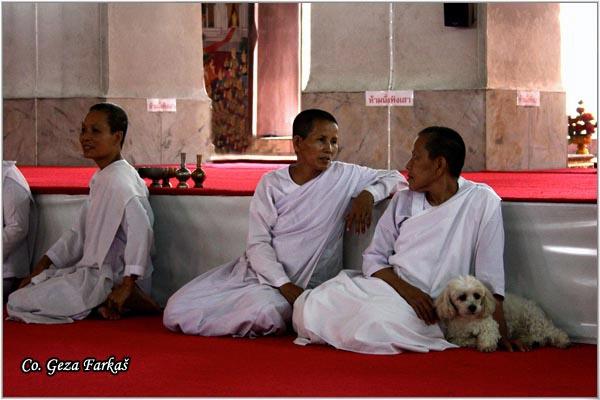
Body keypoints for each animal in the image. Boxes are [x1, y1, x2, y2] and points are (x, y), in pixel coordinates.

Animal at [434, 276, 568, 352]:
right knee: (536, 336)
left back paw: (563, 340)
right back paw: (531, 341)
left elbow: (488, 334)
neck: (468, 319)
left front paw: (487, 346)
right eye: (462, 297)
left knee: (551, 331)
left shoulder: (489, 324)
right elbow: (463, 340)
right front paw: (474, 342)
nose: (473, 307)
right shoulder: (455, 336)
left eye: (477, 295)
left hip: (533, 319)